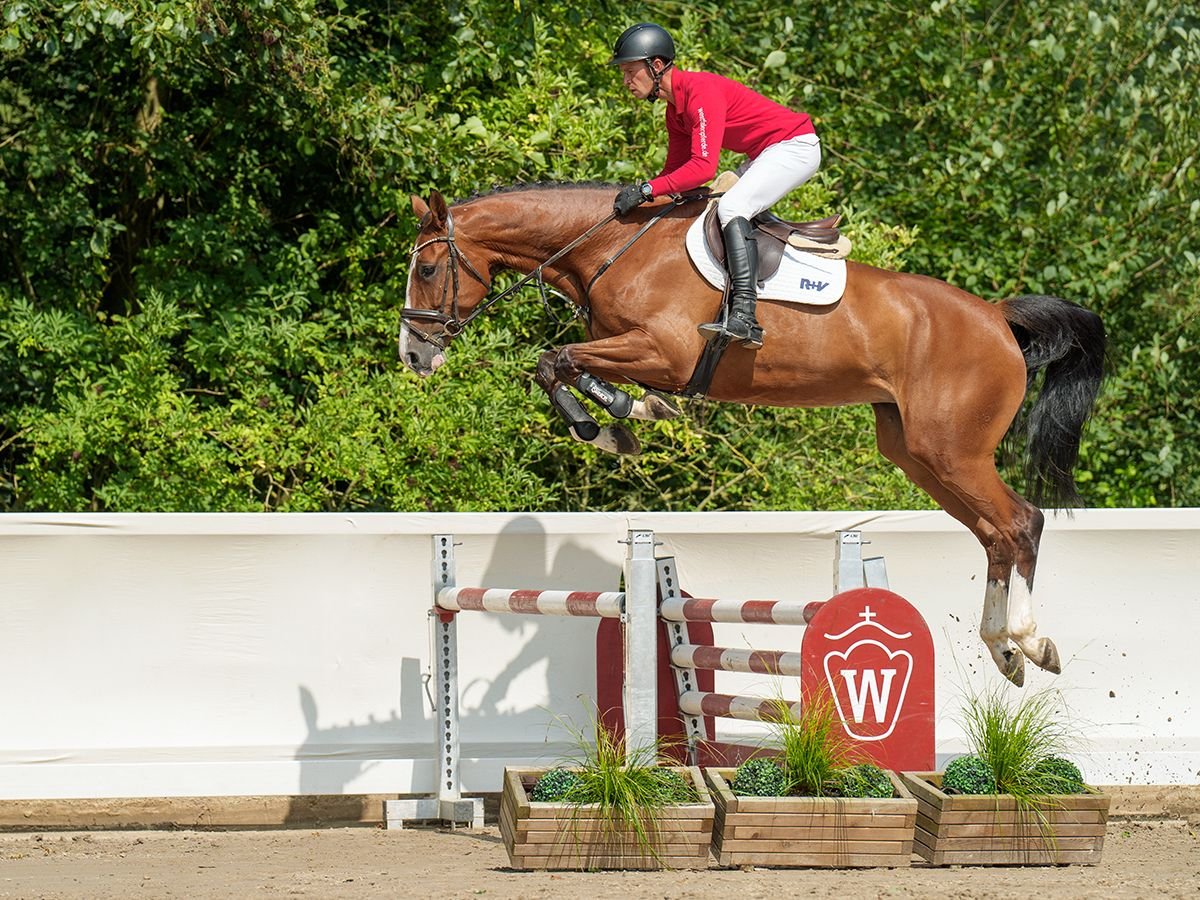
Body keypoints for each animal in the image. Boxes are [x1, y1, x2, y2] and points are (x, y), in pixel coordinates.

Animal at [403, 184, 1104, 691]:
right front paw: (623, 418)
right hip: (917, 453)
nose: (413, 355)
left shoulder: (663, 351)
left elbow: (557, 360)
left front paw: (612, 422)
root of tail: (997, 317)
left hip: (953, 451)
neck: (610, 246)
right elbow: (559, 364)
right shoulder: (631, 349)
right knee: (994, 535)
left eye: (430, 267)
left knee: (1020, 524)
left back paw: (1031, 642)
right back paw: (1004, 652)